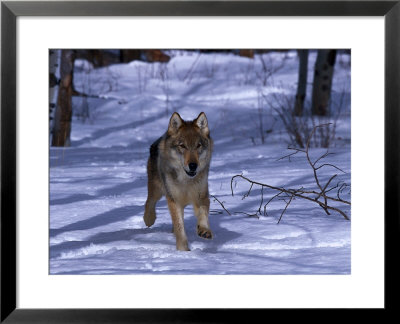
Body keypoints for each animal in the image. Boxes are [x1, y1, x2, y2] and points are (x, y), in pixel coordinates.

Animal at [143, 111, 212, 251]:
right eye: (182, 146)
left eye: (198, 145)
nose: (193, 165)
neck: (186, 182)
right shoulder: (173, 199)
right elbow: (180, 227)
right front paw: (183, 251)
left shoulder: (201, 196)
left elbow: (203, 214)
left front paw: (204, 230)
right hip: (157, 189)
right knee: (149, 202)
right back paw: (149, 219)